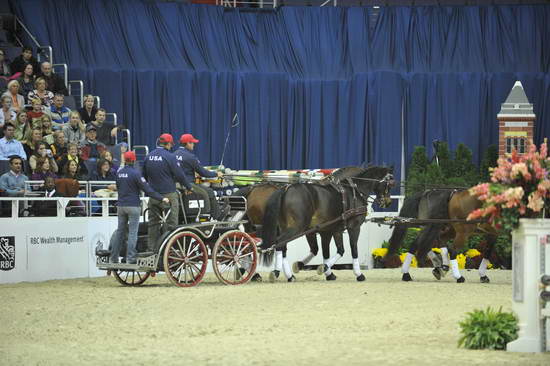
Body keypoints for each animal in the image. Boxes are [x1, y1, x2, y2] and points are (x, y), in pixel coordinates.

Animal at [260, 167, 396, 284]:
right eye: (389, 184)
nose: (388, 202)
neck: (354, 192)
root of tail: (286, 189)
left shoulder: (332, 230)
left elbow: (334, 251)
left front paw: (324, 270)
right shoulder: (354, 227)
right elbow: (353, 249)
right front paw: (358, 274)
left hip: (287, 227)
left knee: (282, 246)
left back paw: (287, 275)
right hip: (296, 227)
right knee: (279, 242)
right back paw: (278, 273)